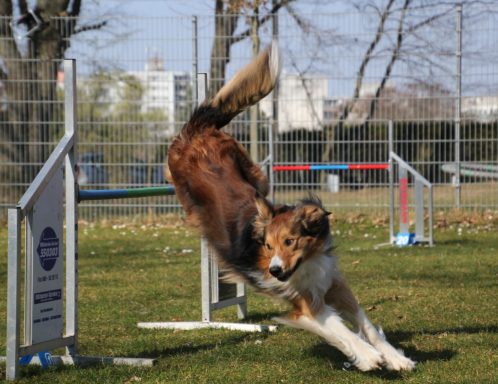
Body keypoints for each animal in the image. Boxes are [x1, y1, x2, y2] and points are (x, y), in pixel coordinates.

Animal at [167, 42, 416, 372]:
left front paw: (396, 358)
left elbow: (367, 326)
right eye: (268, 246)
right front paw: (367, 356)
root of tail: (196, 130)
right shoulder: (306, 305)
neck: (307, 262)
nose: (273, 270)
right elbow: (342, 331)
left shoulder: (333, 284)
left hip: (258, 176)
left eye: (289, 241)